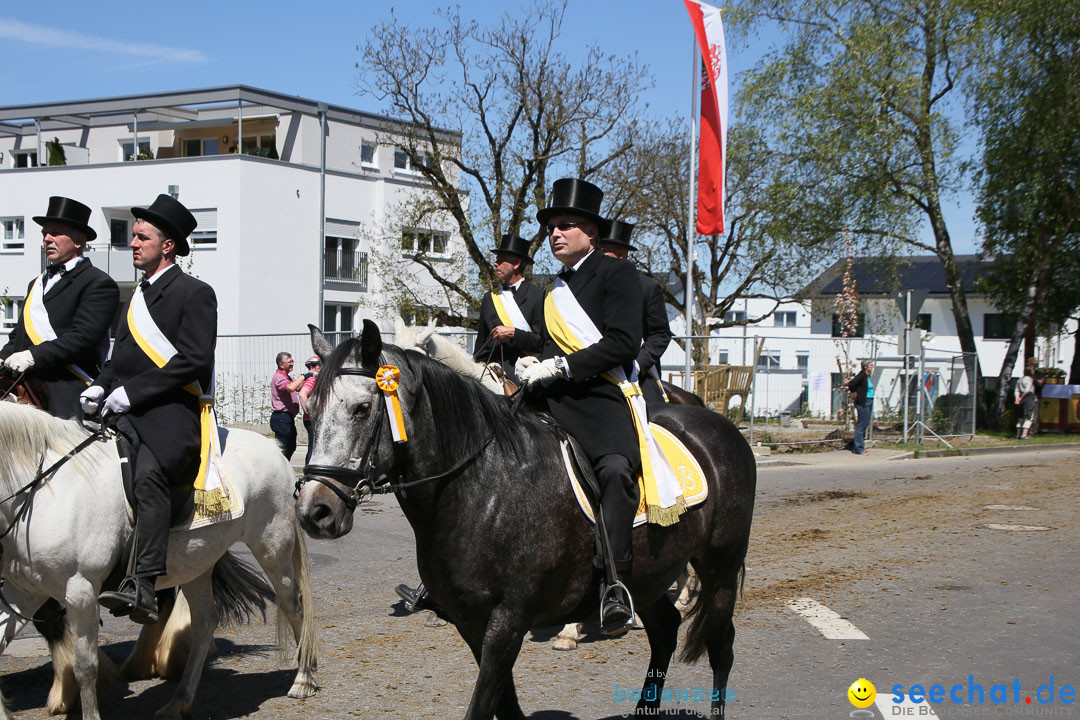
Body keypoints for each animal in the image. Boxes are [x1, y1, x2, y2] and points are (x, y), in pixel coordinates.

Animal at [0, 405, 315, 720]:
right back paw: (179, 701)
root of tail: (275, 449)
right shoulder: (23, 592)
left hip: (272, 547)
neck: (46, 494)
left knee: (294, 606)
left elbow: (85, 667)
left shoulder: (81, 591)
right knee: (205, 622)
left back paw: (303, 679)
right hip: (197, 563)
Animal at [291, 323, 756, 716]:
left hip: (720, 567)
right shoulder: (472, 624)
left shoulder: (508, 620)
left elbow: (483, 707)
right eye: (308, 412)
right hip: (648, 576)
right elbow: (505, 707)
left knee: (722, 646)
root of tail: (716, 422)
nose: (315, 511)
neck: (484, 485)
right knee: (666, 631)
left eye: (362, 408)